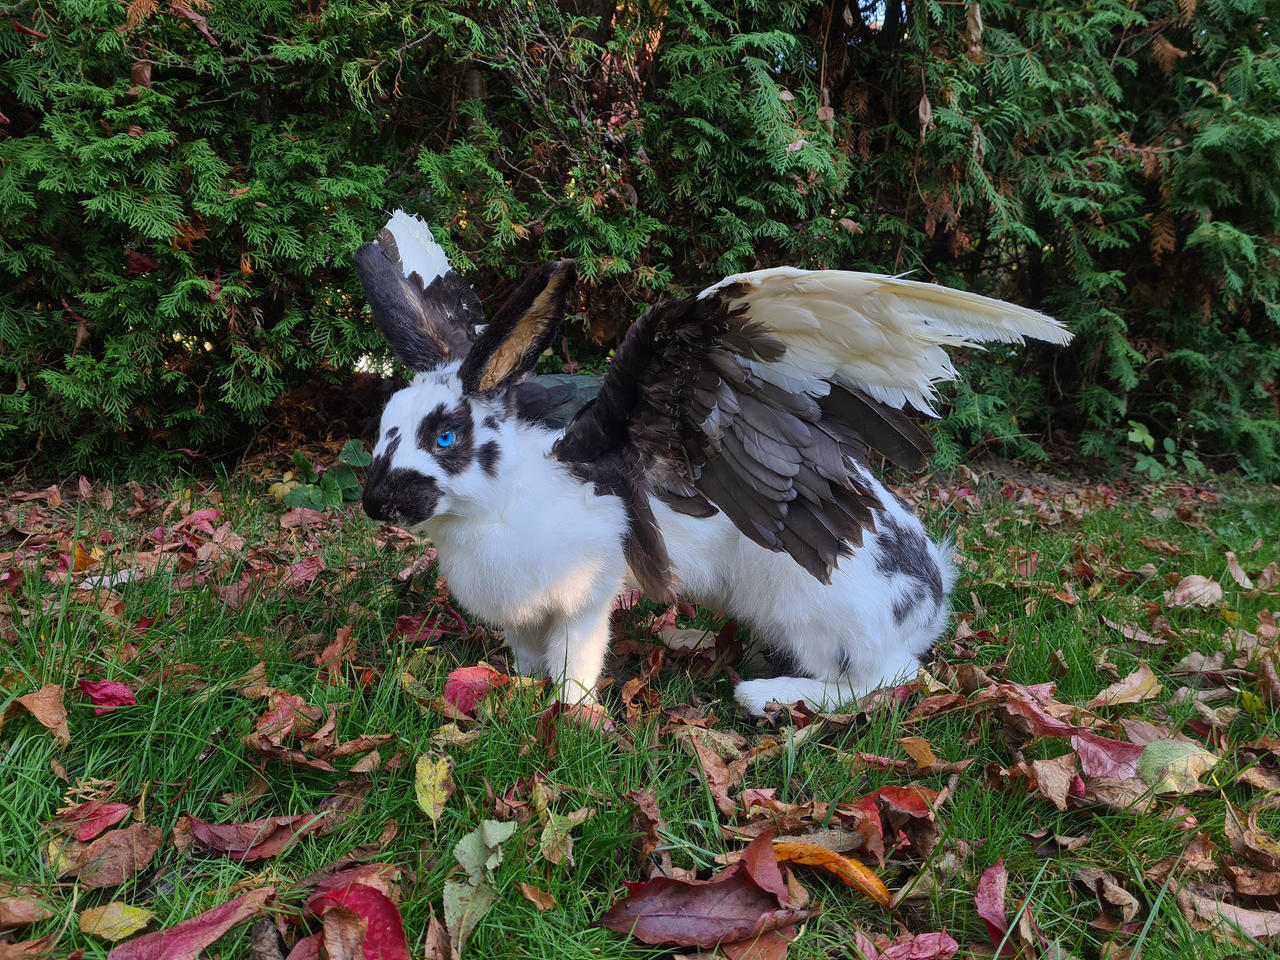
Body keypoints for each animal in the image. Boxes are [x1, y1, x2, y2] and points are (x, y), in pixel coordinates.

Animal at [356, 211, 1069, 714]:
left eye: (446, 437)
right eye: (385, 425)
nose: (374, 504)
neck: (503, 498)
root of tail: (932, 598)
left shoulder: (586, 595)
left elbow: (577, 659)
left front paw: (571, 714)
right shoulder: (523, 618)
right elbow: (529, 655)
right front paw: (522, 690)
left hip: (822, 619)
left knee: (884, 679)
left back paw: (766, 697)